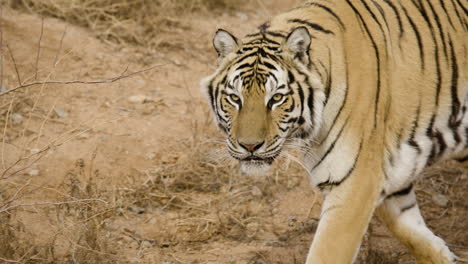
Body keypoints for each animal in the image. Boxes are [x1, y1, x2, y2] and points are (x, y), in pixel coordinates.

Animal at [201, 0, 468, 262]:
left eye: (276, 98)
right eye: (235, 98)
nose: (250, 146)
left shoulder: (355, 183)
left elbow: (327, 251)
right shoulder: (391, 172)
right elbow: (409, 230)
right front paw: (446, 256)